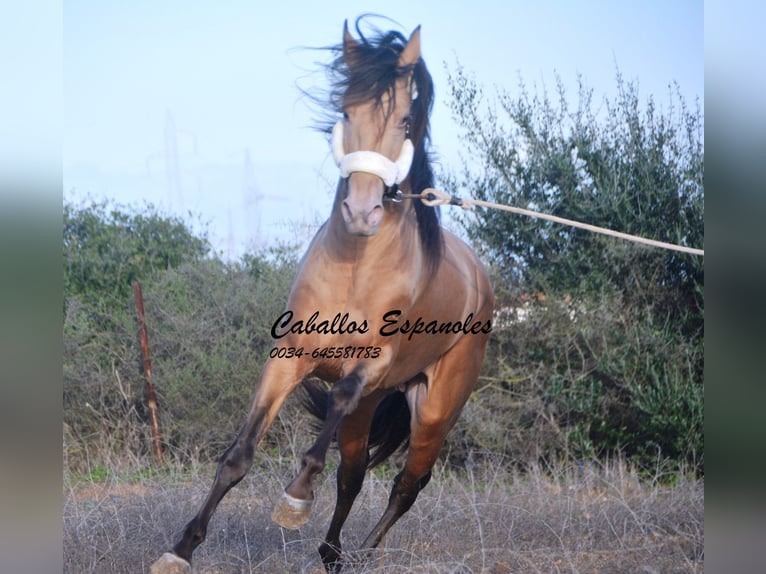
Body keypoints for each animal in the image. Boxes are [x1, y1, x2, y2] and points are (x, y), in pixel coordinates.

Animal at [151, 18, 498, 574]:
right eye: (345, 111)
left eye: (405, 120)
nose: (362, 211)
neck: (357, 270)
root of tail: (480, 278)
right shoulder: (288, 357)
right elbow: (238, 456)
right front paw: (179, 551)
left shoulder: (369, 367)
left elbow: (326, 429)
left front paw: (294, 501)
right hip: (370, 408)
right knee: (352, 475)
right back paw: (333, 554)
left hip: (434, 410)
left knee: (408, 483)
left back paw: (363, 553)